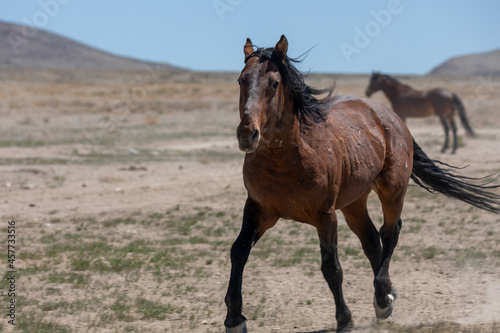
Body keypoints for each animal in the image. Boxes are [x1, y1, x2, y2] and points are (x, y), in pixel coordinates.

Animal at [225, 35, 498, 330]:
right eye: (241, 80)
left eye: (274, 83)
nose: (247, 135)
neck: (289, 156)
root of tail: (387, 115)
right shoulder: (258, 209)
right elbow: (238, 251)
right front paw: (234, 318)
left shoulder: (325, 217)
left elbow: (331, 268)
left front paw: (345, 320)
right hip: (354, 203)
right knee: (371, 240)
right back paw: (387, 295)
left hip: (392, 190)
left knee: (389, 233)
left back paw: (382, 301)